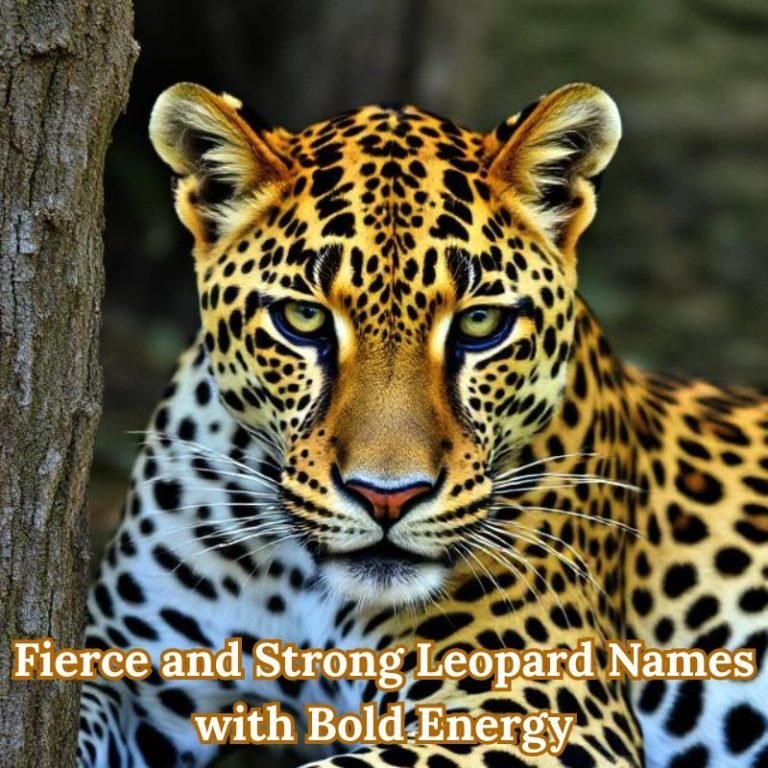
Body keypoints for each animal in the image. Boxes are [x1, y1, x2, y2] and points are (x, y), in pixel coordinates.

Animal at [77, 81, 768, 768]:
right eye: (303, 319)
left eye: (481, 325)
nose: (388, 497)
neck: (300, 581)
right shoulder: (128, 676)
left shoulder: (543, 713)